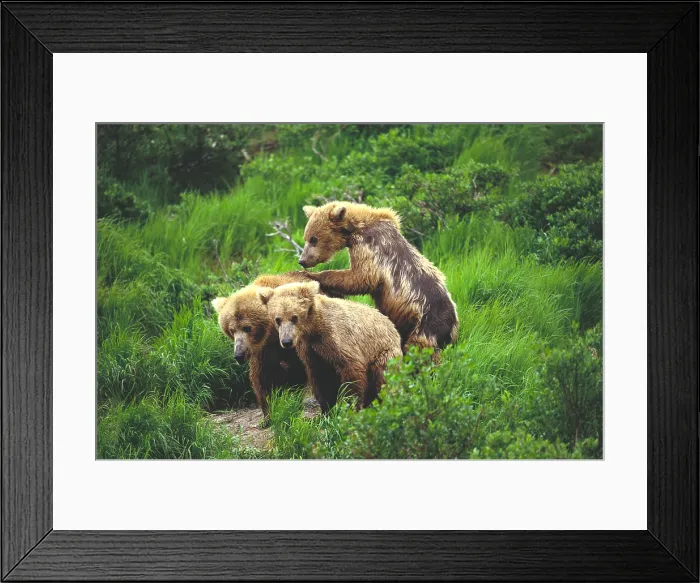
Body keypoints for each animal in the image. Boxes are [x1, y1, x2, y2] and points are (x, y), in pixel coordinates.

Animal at [212, 271, 319, 420]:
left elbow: (298, 370)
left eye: (247, 328)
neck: (272, 334)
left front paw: (291, 401)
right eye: (231, 330)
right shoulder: (263, 351)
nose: (239, 355)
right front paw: (269, 413)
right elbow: (263, 379)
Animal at [257, 280, 403, 413]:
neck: (313, 329)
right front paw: (327, 410)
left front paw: (348, 407)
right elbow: (321, 378)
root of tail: (394, 328)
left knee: (382, 375)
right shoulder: (310, 349)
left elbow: (351, 368)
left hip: (384, 352)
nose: (286, 341)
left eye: (294, 317)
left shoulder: (335, 338)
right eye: (278, 319)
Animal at [298, 202, 459, 359]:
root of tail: (452, 326)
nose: (302, 260)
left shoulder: (369, 247)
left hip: (426, 324)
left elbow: (361, 277)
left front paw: (314, 275)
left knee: (418, 348)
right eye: (306, 237)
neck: (355, 228)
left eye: (313, 239)